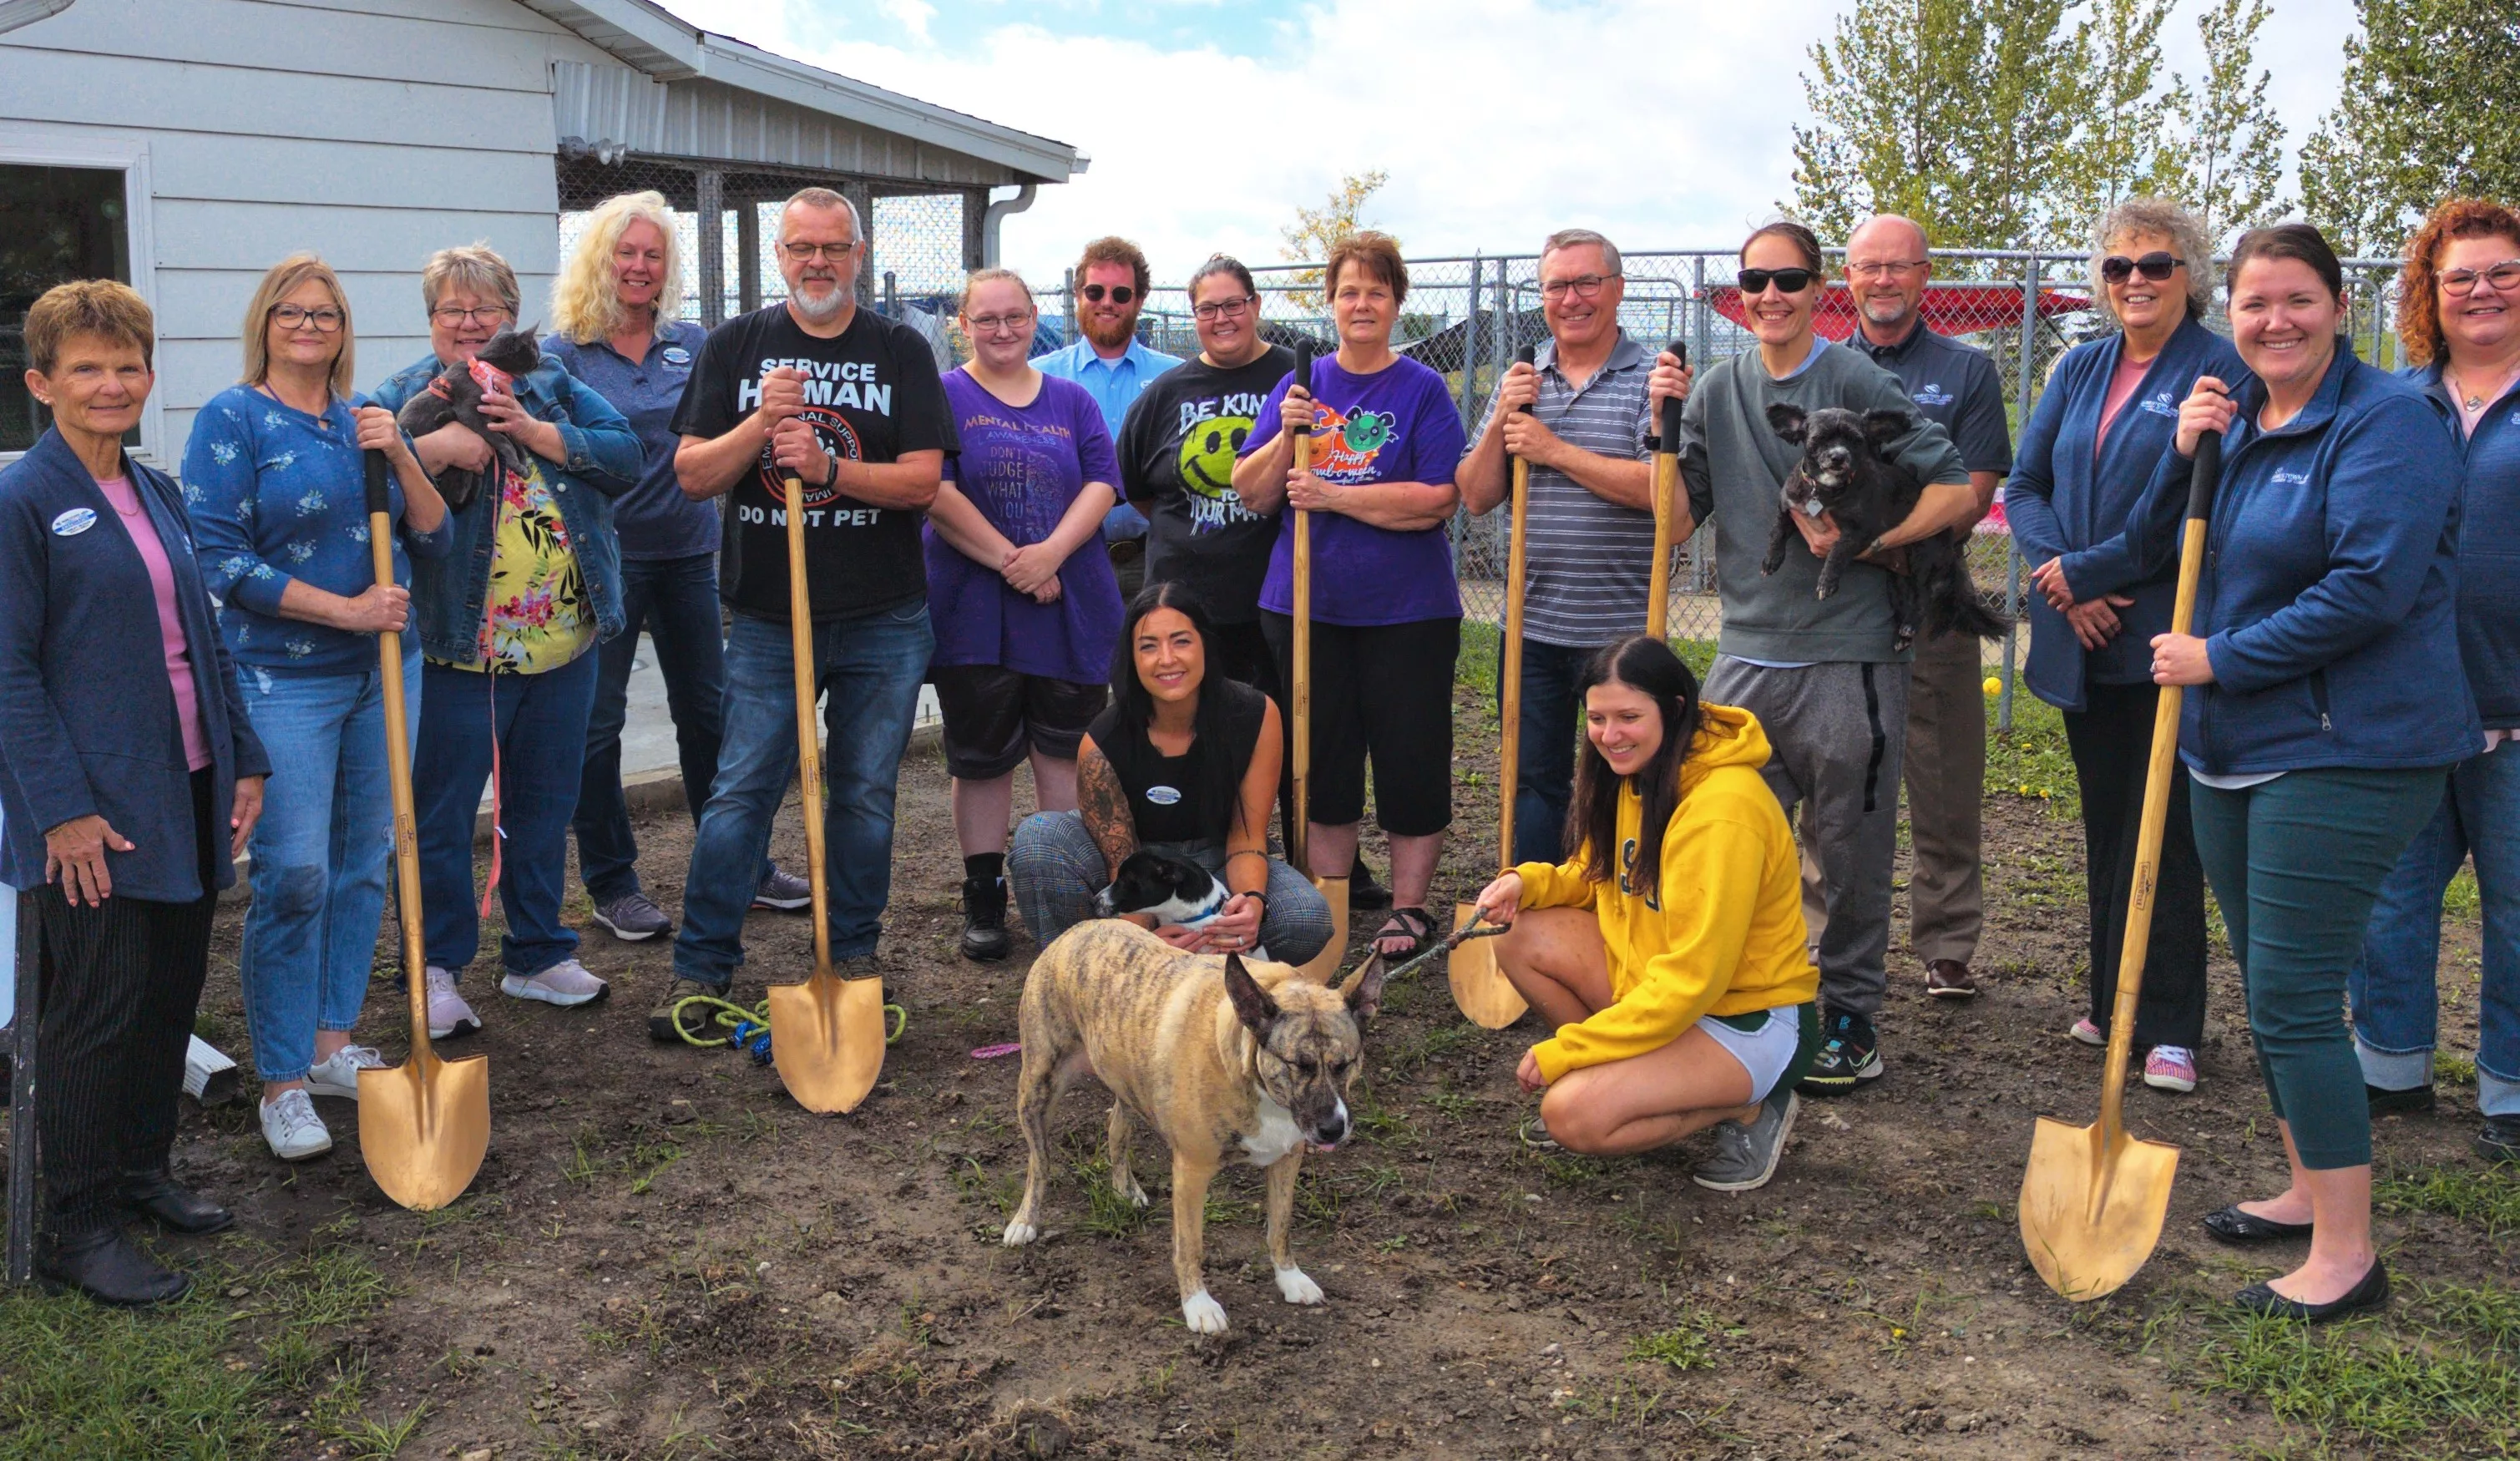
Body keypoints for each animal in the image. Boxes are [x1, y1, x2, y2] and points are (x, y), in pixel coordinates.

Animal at [1003, 927, 1390, 1340]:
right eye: (1297, 1064)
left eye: (1345, 1064)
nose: (1333, 1129)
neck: (1248, 1069)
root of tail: (1073, 932)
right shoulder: (1192, 1172)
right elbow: (1190, 1246)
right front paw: (1198, 1305)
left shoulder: (1288, 1159)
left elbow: (1280, 1228)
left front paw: (1290, 1277)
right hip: (1037, 1087)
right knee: (1039, 1163)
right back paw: (1025, 1221)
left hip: (1129, 1080)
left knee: (1116, 1127)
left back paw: (1126, 1188)